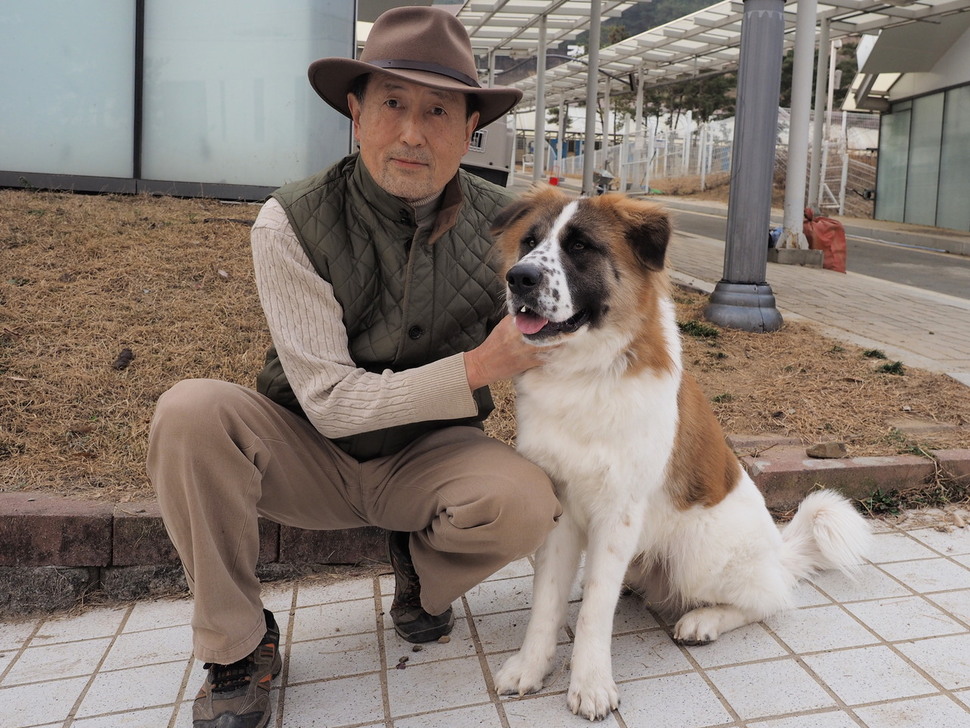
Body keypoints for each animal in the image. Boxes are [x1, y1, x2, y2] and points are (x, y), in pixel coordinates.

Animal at [492, 185, 868, 720]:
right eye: (529, 241)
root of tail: (779, 552)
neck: (584, 375)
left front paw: (591, 683)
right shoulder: (559, 506)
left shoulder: (619, 515)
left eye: (581, 246)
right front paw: (531, 667)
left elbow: (594, 613)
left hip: (699, 556)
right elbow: (547, 602)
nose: (519, 278)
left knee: (771, 598)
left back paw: (704, 621)